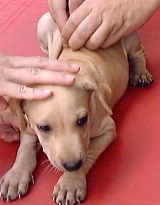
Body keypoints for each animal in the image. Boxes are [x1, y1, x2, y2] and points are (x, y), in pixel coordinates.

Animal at [0, 13, 152, 205]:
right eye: (43, 128)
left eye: (82, 120)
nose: (72, 165)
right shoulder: (27, 124)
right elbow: (25, 148)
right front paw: (16, 175)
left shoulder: (108, 130)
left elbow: (90, 153)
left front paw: (70, 183)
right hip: (44, 23)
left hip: (129, 35)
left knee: (139, 54)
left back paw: (140, 72)